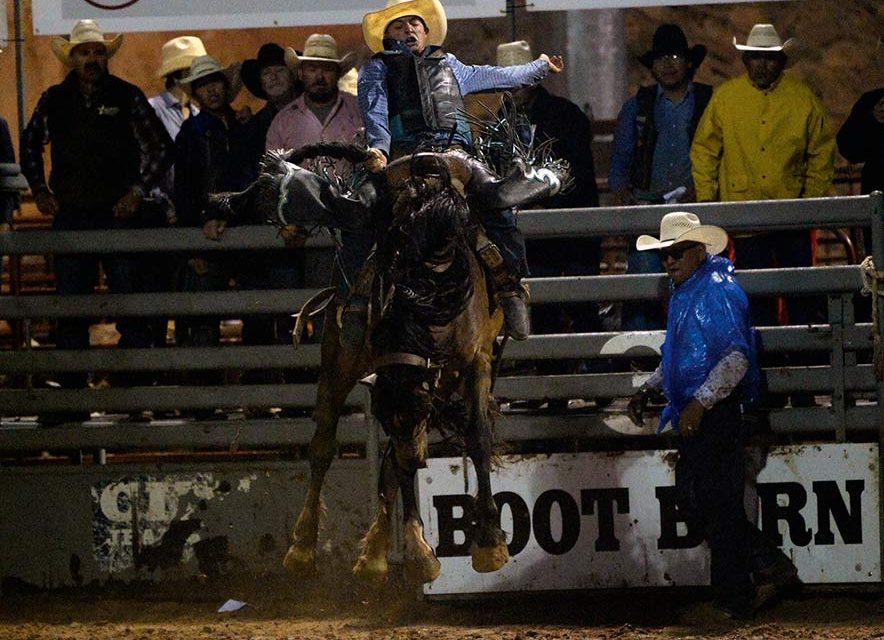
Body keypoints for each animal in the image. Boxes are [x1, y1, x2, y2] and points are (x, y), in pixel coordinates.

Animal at [208, 111, 568, 584]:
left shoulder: (471, 363)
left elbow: (476, 438)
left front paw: (488, 543)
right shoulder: (380, 377)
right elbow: (378, 459)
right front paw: (417, 551)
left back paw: (378, 548)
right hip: (341, 356)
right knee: (324, 445)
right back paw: (307, 548)